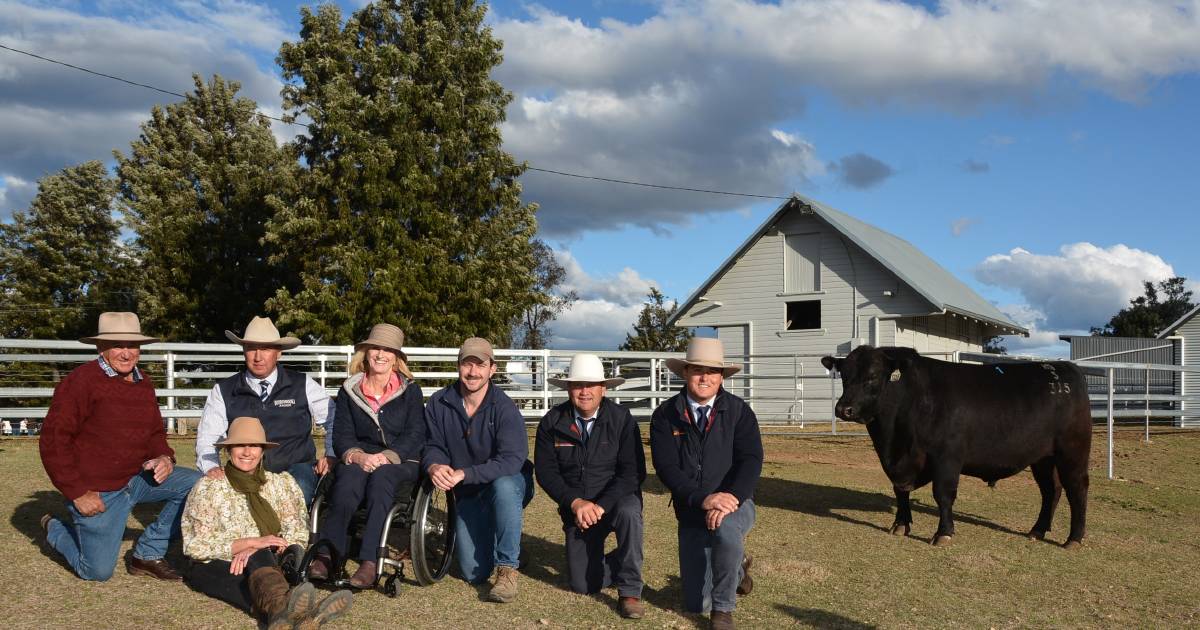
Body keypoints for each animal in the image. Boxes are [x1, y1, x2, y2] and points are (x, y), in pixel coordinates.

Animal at [820, 345, 1094, 547]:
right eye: (844, 376)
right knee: (1051, 490)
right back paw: (1037, 530)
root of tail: (1064, 367)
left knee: (1076, 489)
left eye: (873, 376)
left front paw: (943, 533)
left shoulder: (946, 457)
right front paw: (900, 525)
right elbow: (900, 491)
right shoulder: (899, 463)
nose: (844, 409)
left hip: (1073, 451)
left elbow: (943, 494)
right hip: (1043, 458)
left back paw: (1074, 538)